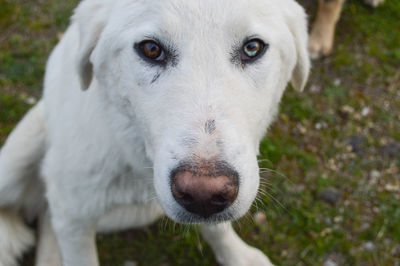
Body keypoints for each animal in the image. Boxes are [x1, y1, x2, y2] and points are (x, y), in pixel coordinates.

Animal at [0, 0, 310, 264]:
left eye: (252, 48)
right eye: (151, 49)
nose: (203, 195)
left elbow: (218, 228)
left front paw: (237, 256)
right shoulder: (74, 216)